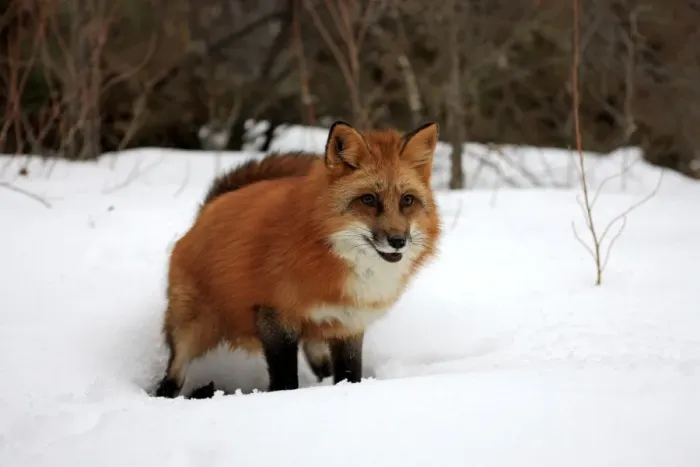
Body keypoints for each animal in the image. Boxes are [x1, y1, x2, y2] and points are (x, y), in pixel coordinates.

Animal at [155, 121, 441, 398]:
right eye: (368, 199)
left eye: (407, 200)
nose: (398, 240)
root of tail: (211, 206)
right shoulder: (275, 316)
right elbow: (285, 380)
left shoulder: (348, 324)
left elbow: (350, 374)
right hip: (190, 330)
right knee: (171, 377)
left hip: (316, 333)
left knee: (320, 363)